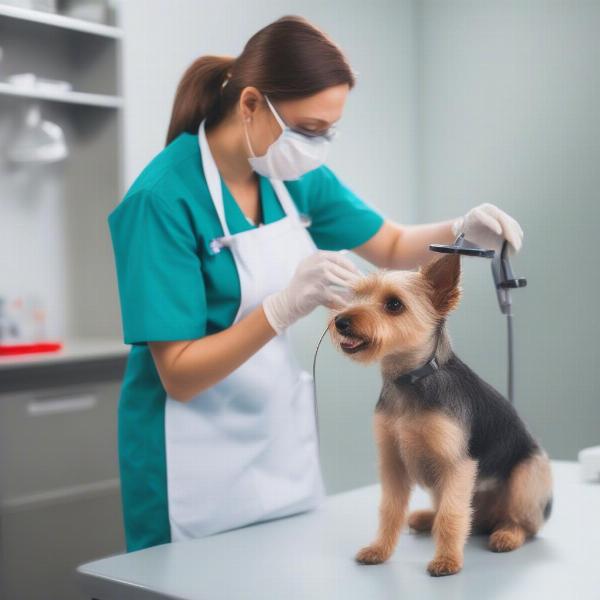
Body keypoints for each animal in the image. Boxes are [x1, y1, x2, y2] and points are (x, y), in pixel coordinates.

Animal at [328, 253, 552, 576]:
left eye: (394, 304)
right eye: (356, 295)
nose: (340, 321)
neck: (410, 379)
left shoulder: (456, 465)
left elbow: (451, 514)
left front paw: (446, 561)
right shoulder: (392, 461)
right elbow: (390, 510)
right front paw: (379, 550)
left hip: (527, 476)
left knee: (525, 523)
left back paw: (507, 534)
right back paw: (426, 518)